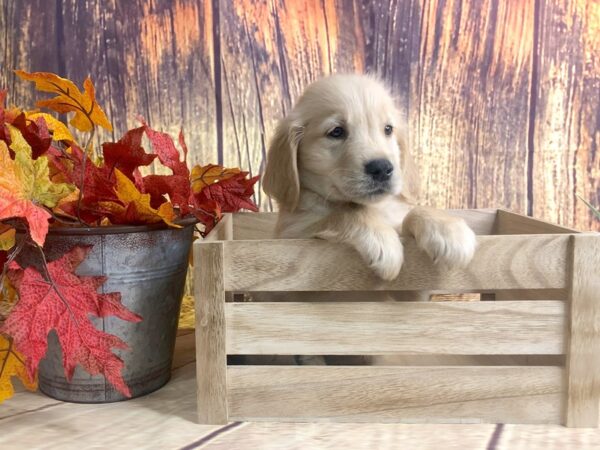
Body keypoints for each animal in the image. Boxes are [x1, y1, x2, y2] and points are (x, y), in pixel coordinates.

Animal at [262, 74, 474, 278]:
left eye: (388, 129)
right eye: (336, 132)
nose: (382, 168)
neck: (375, 207)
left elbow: (413, 211)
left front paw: (447, 230)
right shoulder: (293, 231)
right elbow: (344, 213)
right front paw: (381, 238)